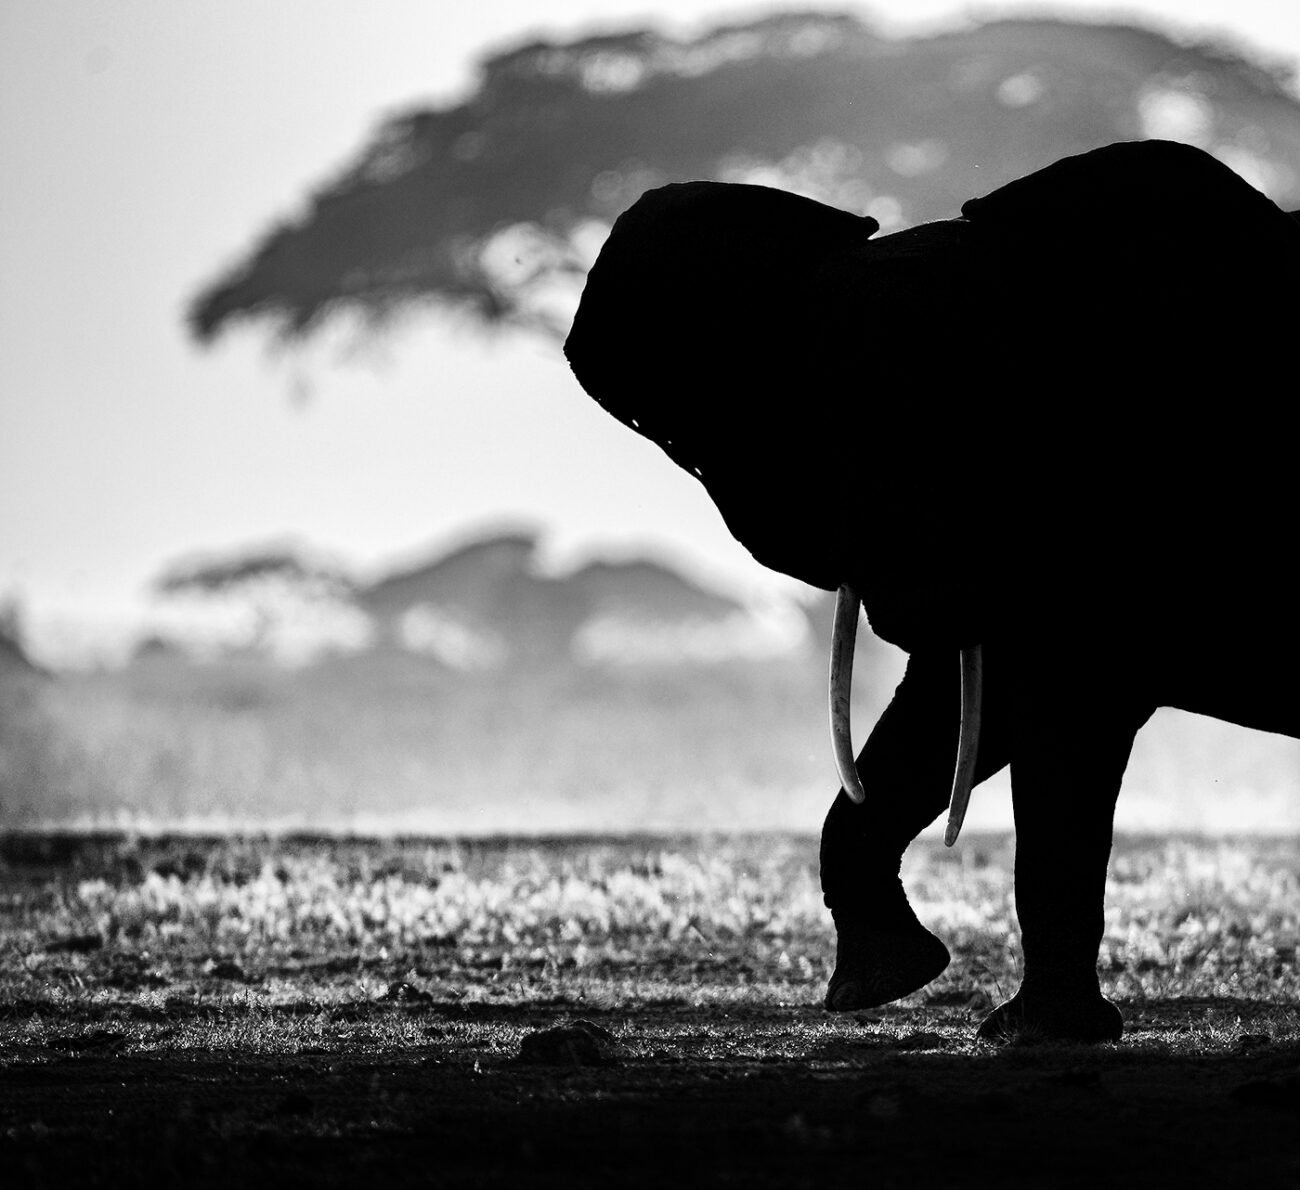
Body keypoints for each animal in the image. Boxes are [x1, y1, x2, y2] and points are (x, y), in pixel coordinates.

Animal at [563, 139, 1300, 1042]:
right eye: (822, 436)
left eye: (986, 424)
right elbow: (958, 716)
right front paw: (884, 983)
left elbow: (1054, 729)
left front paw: (1030, 1033)